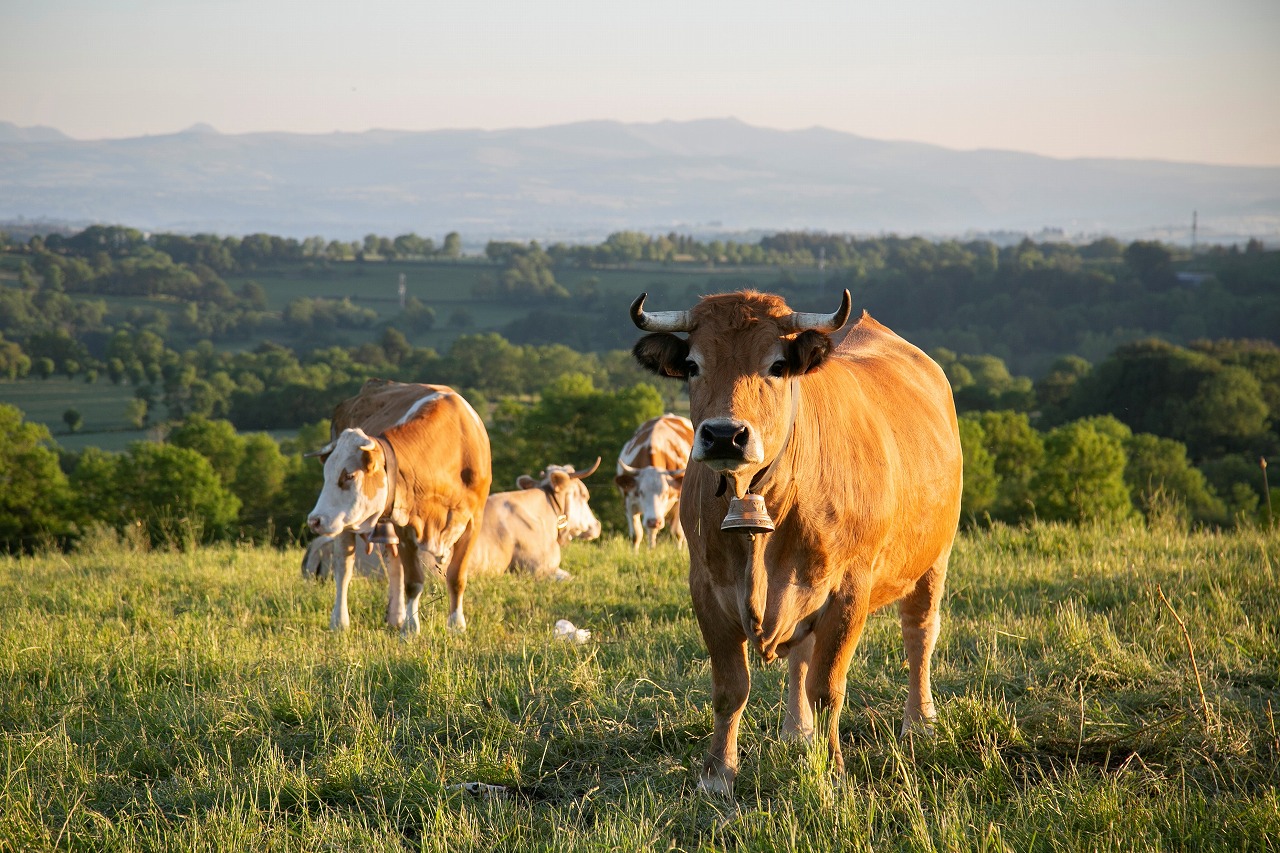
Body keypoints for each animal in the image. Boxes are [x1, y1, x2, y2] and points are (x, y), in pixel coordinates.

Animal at [304, 379, 494, 630]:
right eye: (326, 475)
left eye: (349, 476)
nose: (314, 520)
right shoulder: (405, 523)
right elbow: (413, 580)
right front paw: (411, 629)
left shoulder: (474, 520)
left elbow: (456, 577)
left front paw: (456, 625)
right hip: (346, 525)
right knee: (344, 567)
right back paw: (340, 622)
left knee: (392, 565)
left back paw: (395, 617)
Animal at [616, 414, 696, 548]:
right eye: (641, 492)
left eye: (665, 493)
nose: (654, 521)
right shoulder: (629, 501)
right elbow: (636, 535)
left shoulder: (680, 502)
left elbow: (678, 534)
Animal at [629, 289, 962, 794]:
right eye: (691, 364)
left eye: (777, 365)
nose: (724, 434)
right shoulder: (705, 586)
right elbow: (731, 688)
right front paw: (717, 773)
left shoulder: (849, 589)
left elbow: (828, 687)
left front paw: (834, 770)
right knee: (801, 656)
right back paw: (797, 733)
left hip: (933, 558)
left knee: (919, 633)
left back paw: (919, 721)